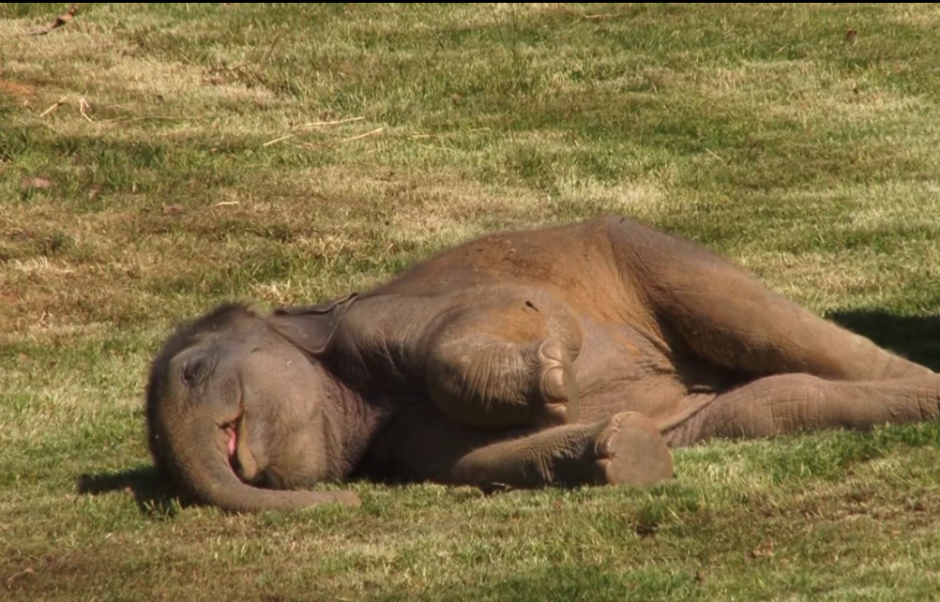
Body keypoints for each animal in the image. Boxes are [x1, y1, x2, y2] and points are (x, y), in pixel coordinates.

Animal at [146, 215, 940, 512]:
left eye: (192, 373)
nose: (345, 505)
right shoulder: (399, 446)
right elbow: (481, 461)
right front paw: (619, 449)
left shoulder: (382, 317)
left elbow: (503, 311)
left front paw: (557, 364)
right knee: (778, 405)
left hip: (649, 254)